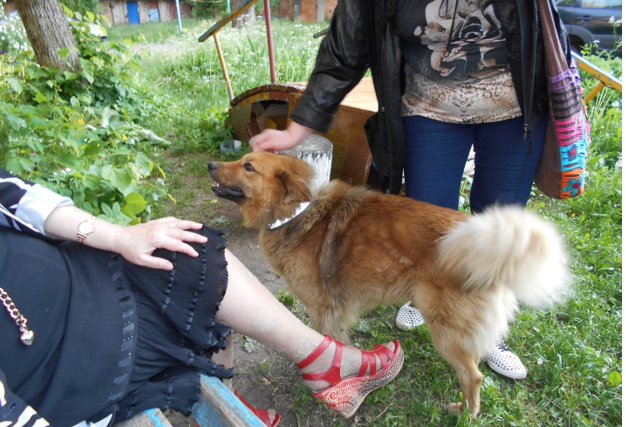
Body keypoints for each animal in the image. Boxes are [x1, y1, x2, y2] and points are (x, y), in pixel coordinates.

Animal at [207, 151, 568, 418]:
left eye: (248, 166)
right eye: (242, 158)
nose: (210, 165)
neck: (295, 212)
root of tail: (487, 243)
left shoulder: (322, 309)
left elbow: (326, 340)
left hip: (446, 332)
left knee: (473, 376)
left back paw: (466, 413)